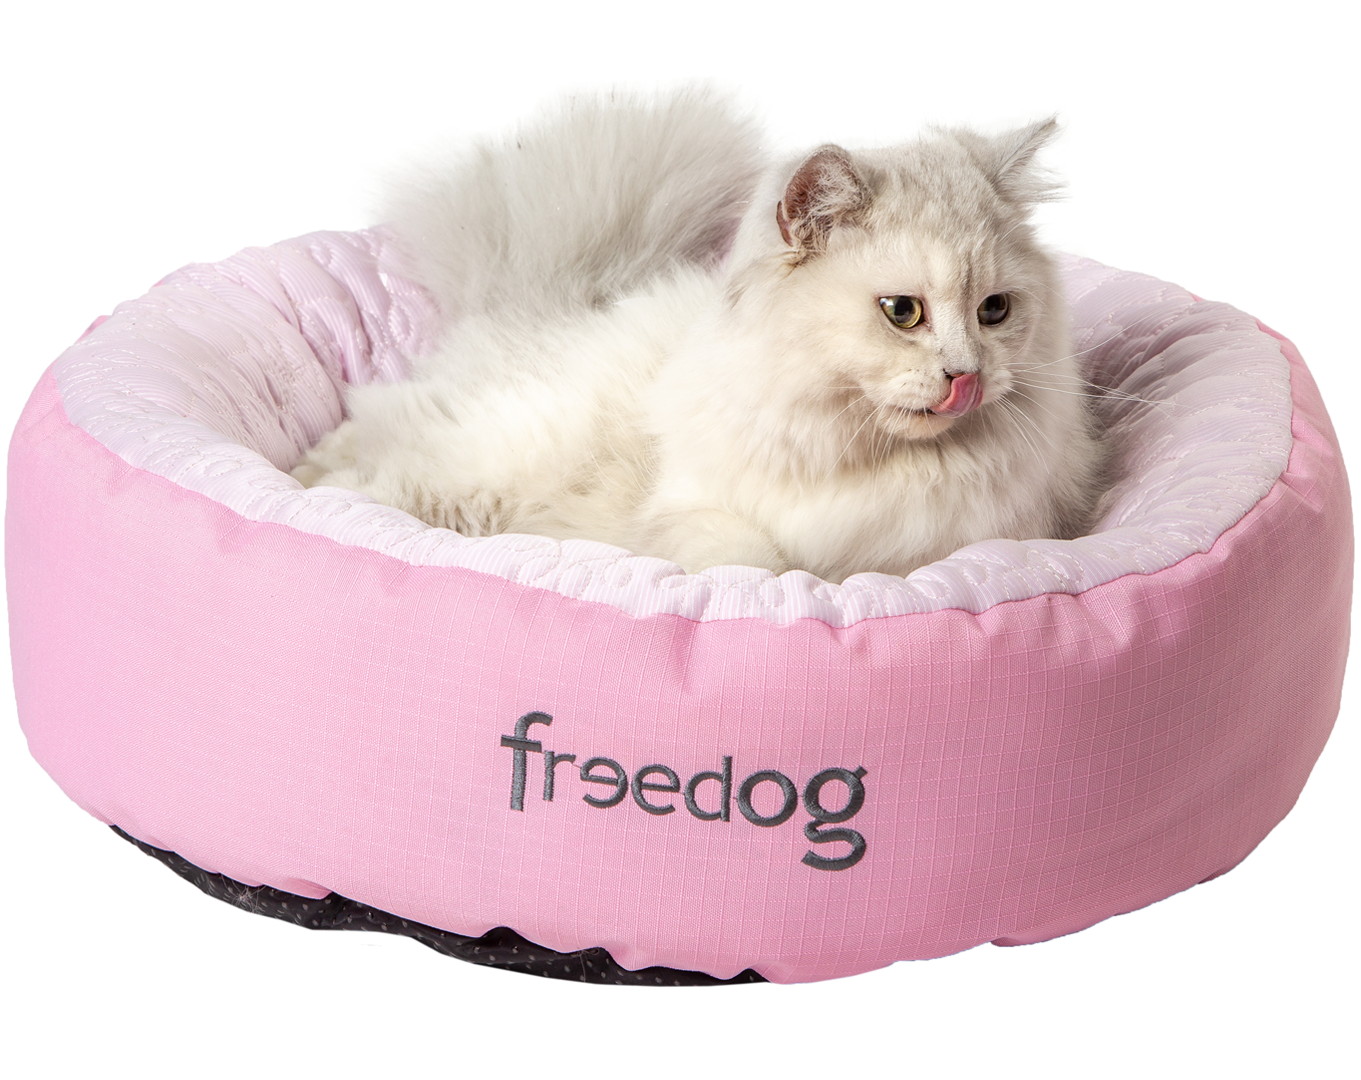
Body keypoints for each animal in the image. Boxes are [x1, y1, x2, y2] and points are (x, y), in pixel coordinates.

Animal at [292, 88, 1106, 585]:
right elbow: (758, 562)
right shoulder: (690, 511)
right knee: (373, 458)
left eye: (994, 311)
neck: (865, 459)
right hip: (488, 467)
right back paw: (304, 484)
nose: (967, 376)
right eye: (901, 312)